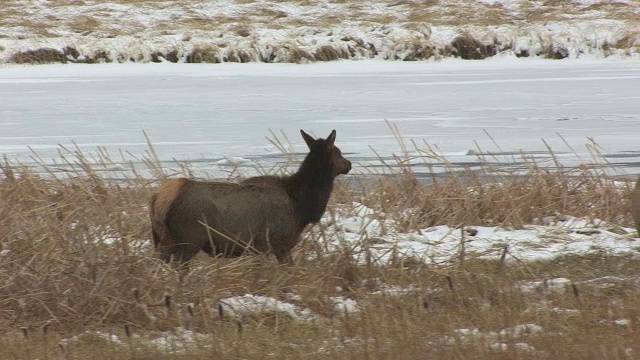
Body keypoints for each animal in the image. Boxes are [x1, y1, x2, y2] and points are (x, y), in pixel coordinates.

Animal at [148, 129, 352, 268]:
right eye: (338, 152)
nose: (349, 164)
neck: (300, 208)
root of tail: (158, 199)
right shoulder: (273, 241)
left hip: (162, 239)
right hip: (187, 239)